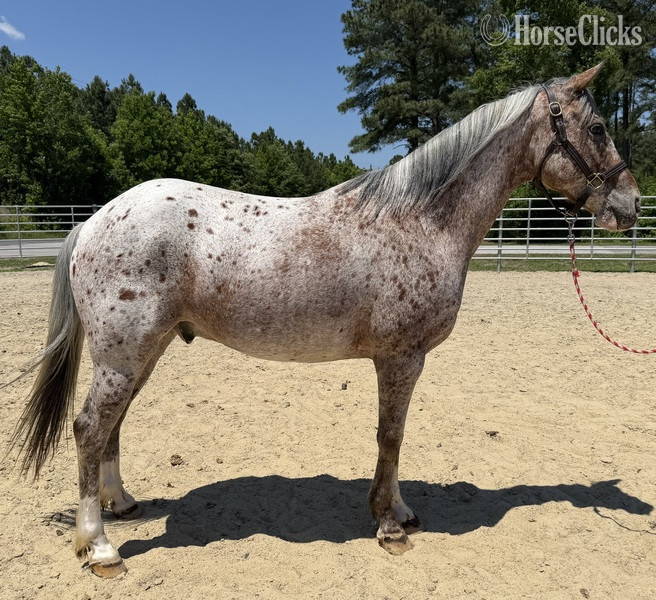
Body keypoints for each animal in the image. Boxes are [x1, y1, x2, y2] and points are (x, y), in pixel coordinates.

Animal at [11, 64, 640, 577]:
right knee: (89, 428)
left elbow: (395, 436)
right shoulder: (401, 358)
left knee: (110, 427)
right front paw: (388, 524)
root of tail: (94, 221)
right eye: (598, 128)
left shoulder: (402, 361)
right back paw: (99, 547)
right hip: (124, 354)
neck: (422, 220)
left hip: (141, 352)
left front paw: (399, 509)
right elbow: (391, 435)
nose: (631, 206)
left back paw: (120, 505)